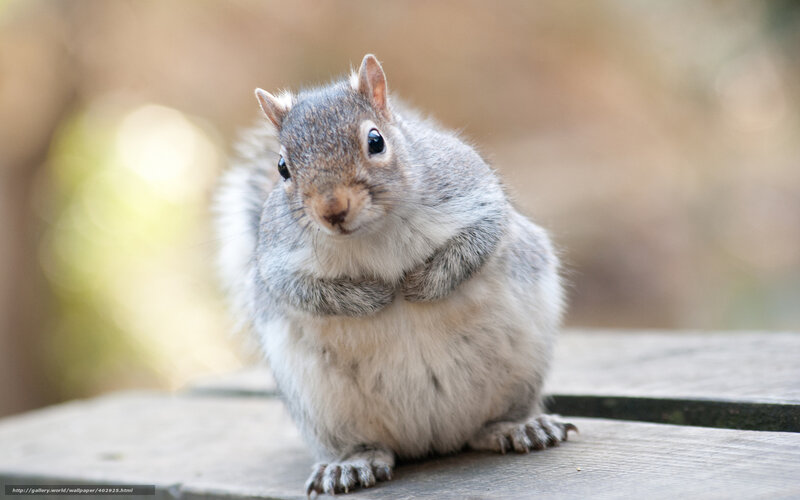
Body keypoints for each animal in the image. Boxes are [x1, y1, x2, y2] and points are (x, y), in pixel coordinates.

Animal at [214, 54, 576, 496]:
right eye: (282, 167)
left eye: (376, 141)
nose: (332, 210)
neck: (372, 232)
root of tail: (434, 438)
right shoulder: (275, 259)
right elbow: (300, 289)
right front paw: (372, 297)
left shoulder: (474, 192)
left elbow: (479, 238)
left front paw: (421, 284)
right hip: (322, 407)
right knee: (364, 444)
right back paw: (350, 464)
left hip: (521, 368)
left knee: (494, 421)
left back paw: (518, 426)